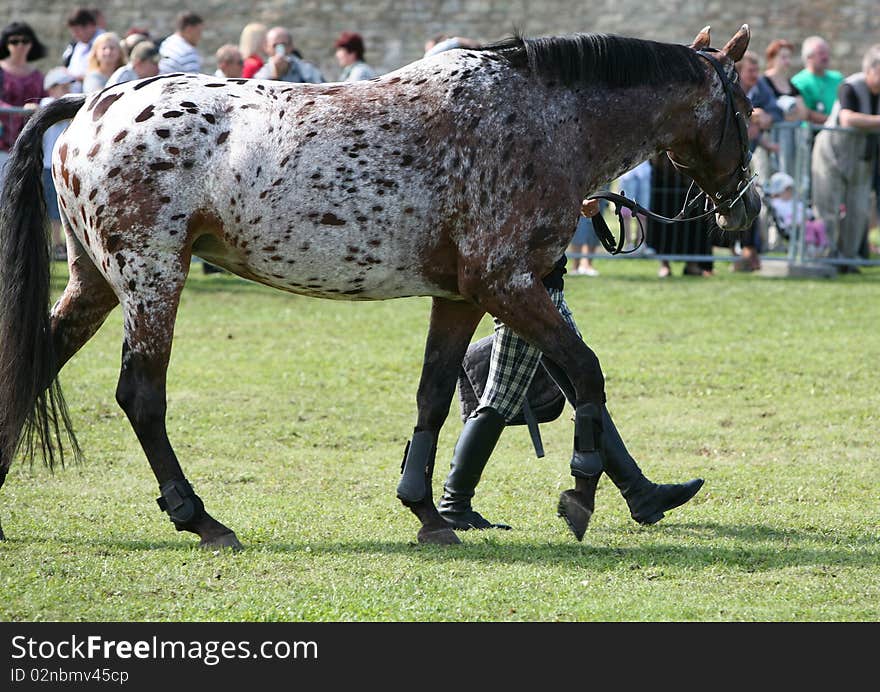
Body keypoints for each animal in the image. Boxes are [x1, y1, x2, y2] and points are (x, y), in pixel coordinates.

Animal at [0, 25, 756, 548]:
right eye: (746, 108)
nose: (744, 212)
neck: (541, 120)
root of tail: (92, 105)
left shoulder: (461, 296)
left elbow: (434, 397)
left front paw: (427, 511)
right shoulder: (506, 283)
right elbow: (587, 371)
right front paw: (581, 492)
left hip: (96, 285)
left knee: (33, 366)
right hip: (153, 278)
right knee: (140, 396)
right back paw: (200, 517)